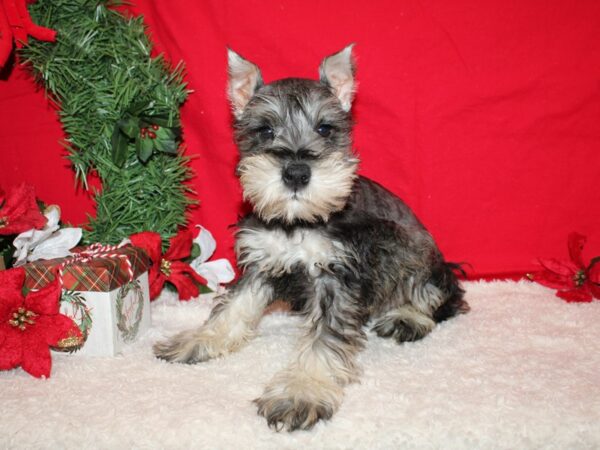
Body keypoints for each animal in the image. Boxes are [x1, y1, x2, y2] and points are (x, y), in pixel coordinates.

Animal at [154, 44, 468, 430]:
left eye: (325, 127)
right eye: (264, 129)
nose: (296, 172)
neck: (296, 221)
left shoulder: (336, 275)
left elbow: (323, 340)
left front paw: (301, 392)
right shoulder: (260, 263)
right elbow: (232, 308)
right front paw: (198, 340)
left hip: (405, 247)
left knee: (437, 296)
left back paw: (406, 318)